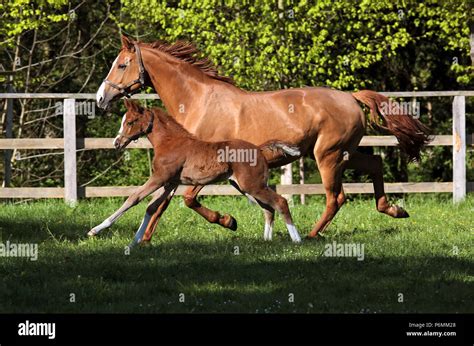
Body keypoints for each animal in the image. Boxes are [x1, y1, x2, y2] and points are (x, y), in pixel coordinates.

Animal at [87, 99, 302, 246]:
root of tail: (259, 149)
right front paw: (134, 242)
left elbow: (133, 199)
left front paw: (96, 230)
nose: (117, 143)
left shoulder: (159, 178)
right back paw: (266, 240)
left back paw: (297, 239)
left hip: (253, 185)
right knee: (268, 209)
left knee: (280, 202)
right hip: (245, 186)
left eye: (130, 122)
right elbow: (151, 207)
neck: (169, 142)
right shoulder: (170, 183)